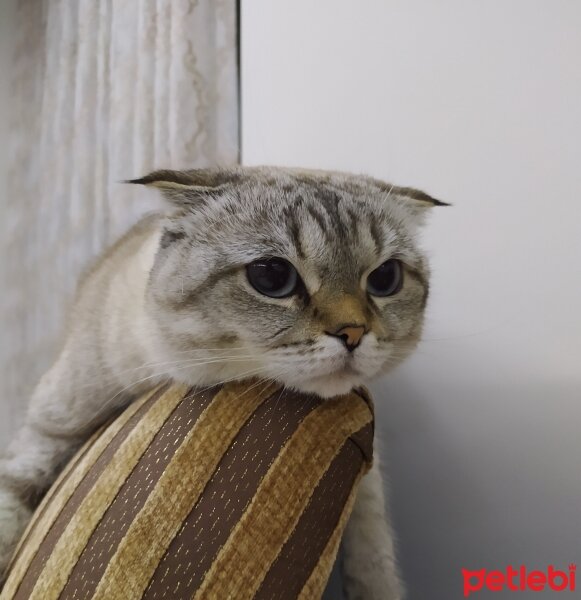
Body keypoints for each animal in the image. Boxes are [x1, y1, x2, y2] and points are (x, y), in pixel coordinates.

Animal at [0, 166, 446, 596]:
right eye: (272, 276)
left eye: (385, 278)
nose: (353, 333)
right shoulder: (50, 429)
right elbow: (11, 501)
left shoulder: (370, 457)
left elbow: (373, 549)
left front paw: (376, 585)